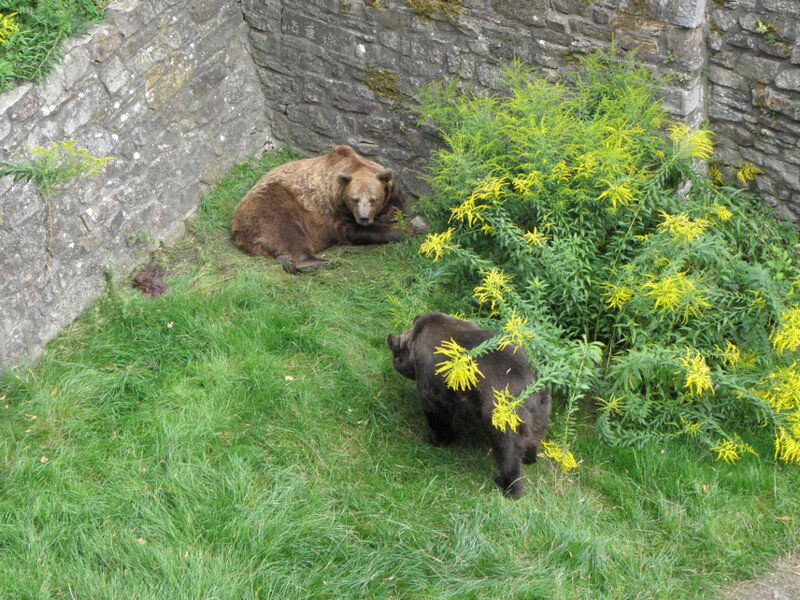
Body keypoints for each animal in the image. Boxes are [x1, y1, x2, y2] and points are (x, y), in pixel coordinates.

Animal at [231, 146, 406, 274]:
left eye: (373, 199)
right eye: (354, 199)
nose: (364, 218)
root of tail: (235, 224)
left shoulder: (391, 193)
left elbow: (396, 210)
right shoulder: (336, 209)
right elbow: (351, 231)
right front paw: (406, 231)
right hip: (273, 203)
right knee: (286, 231)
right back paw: (319, 262)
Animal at [386, 312, 552, 500]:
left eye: (396, 353)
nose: (394, 361)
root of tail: (532, 393)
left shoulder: (431, 397)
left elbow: (438, 423)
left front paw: (439, 441)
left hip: (504, 430)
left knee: (510, 463)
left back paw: (509, 489)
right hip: (539, 422)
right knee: (533, 443)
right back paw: (529, 458)